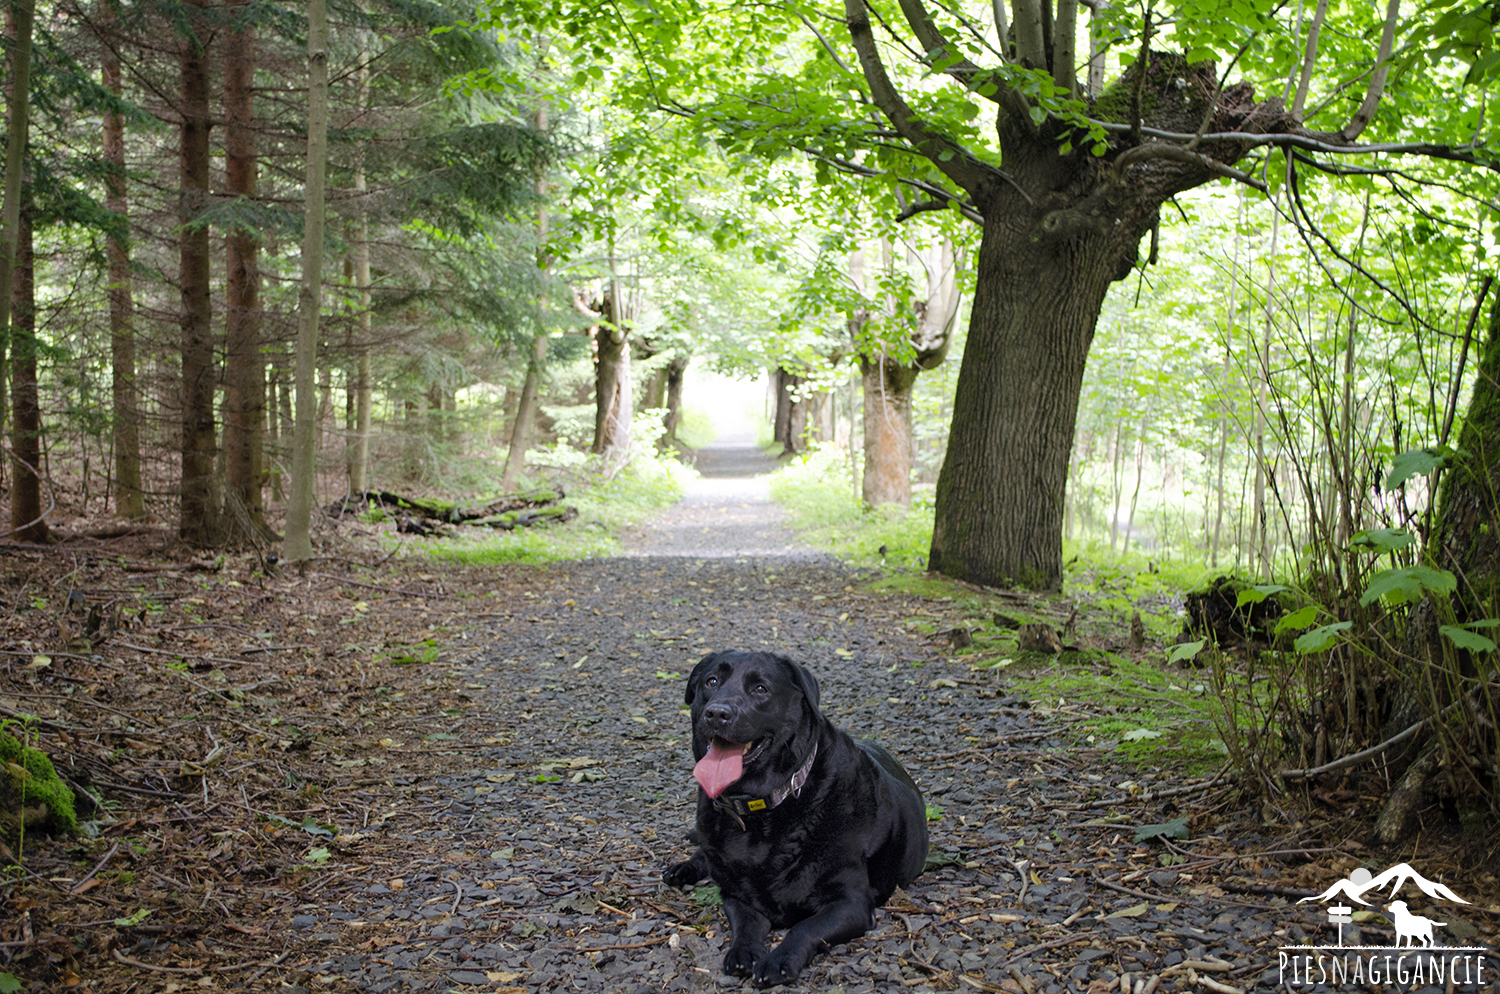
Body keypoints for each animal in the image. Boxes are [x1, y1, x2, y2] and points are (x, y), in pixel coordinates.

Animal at [666, 650, 924, 983]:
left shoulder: (850, 903)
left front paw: (778, 959)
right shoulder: (737, 897)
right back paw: (683, 868)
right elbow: (745, 926)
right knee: (703, 855)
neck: (764, 808)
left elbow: (805, 927)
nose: (716, 713)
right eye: (711, 682)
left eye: (760, 689)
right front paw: (743, 952)